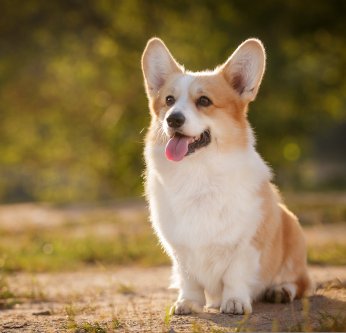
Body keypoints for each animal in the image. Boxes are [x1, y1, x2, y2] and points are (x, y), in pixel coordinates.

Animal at [141, 37, 310, 314]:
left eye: (204, 101)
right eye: (169, 100)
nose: (173, 119)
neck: (198, 173)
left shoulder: (248, 243)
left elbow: (235, 274)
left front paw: (234, 302)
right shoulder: (180, 249)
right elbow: (188, 279)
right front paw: (187, 302)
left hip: (293, 229)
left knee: (302, 282)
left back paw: (281, 291)